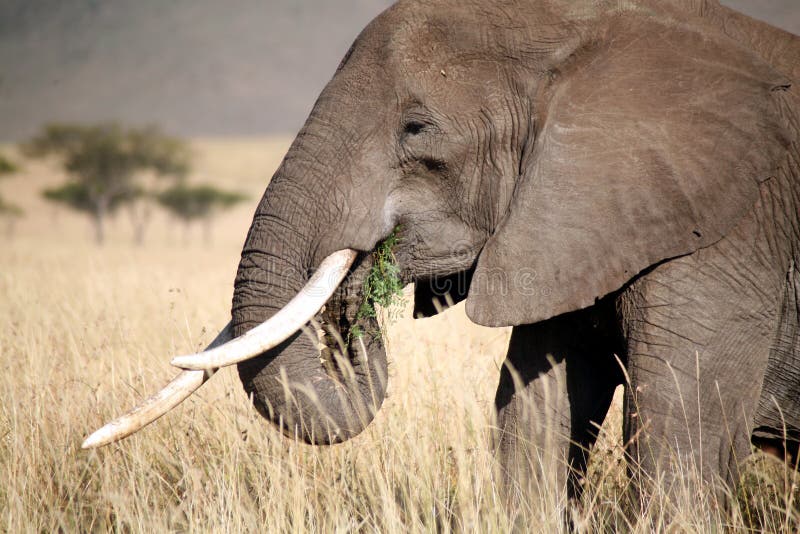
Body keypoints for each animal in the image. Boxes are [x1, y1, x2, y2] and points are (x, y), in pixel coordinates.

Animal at [87, 0, 800, 506]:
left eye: (416, 128)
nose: (357, 300)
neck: (586, 26)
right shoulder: (570, 228)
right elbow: (534, 418)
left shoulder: (734, 232)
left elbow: (681, 445)